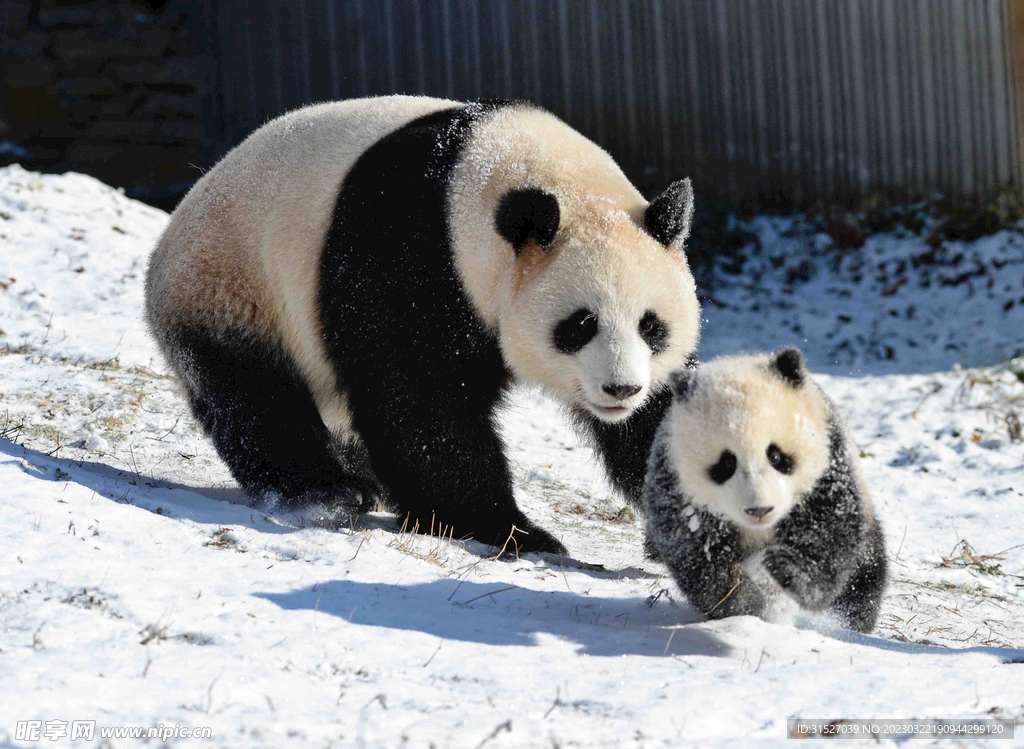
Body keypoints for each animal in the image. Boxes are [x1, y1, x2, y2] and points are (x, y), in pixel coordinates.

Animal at [146, 93, 704, 553]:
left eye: (651, 326)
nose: (622, 389)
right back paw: (329, 491)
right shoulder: (407, 254)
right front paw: (511, 531)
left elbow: (660, 425)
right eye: (580, 324)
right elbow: (419, 401)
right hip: (233, 287)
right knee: (258, 399)